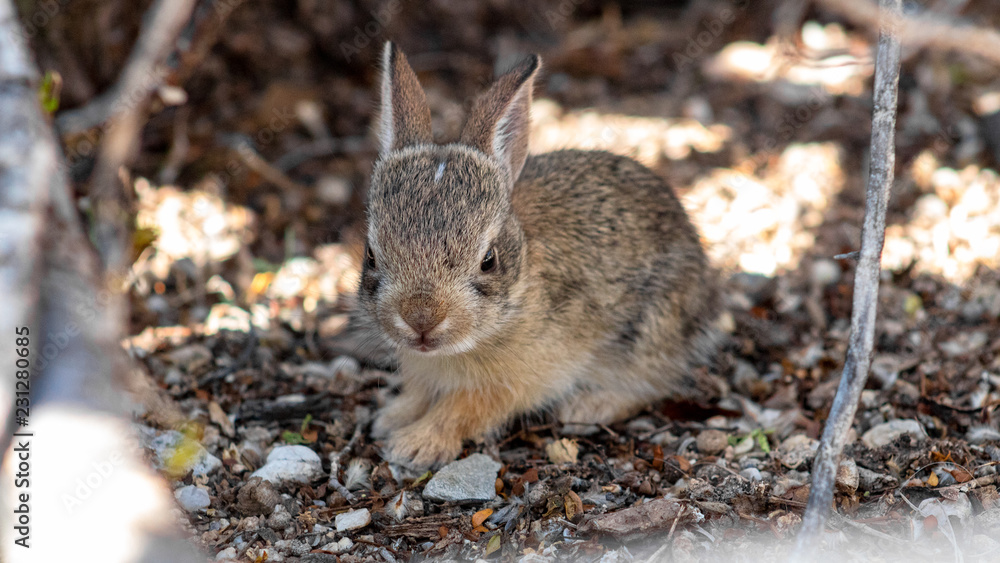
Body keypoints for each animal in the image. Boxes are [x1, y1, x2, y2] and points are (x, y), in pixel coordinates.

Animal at [356, 41, 724, 470]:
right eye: (371, 255)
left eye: (489, 260)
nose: (421, 319)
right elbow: (417, 394)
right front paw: (390, 419)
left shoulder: (515, 380)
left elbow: (462, 408)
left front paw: (414, 445)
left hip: (648, 330)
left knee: (654, 383)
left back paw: (588, 406)